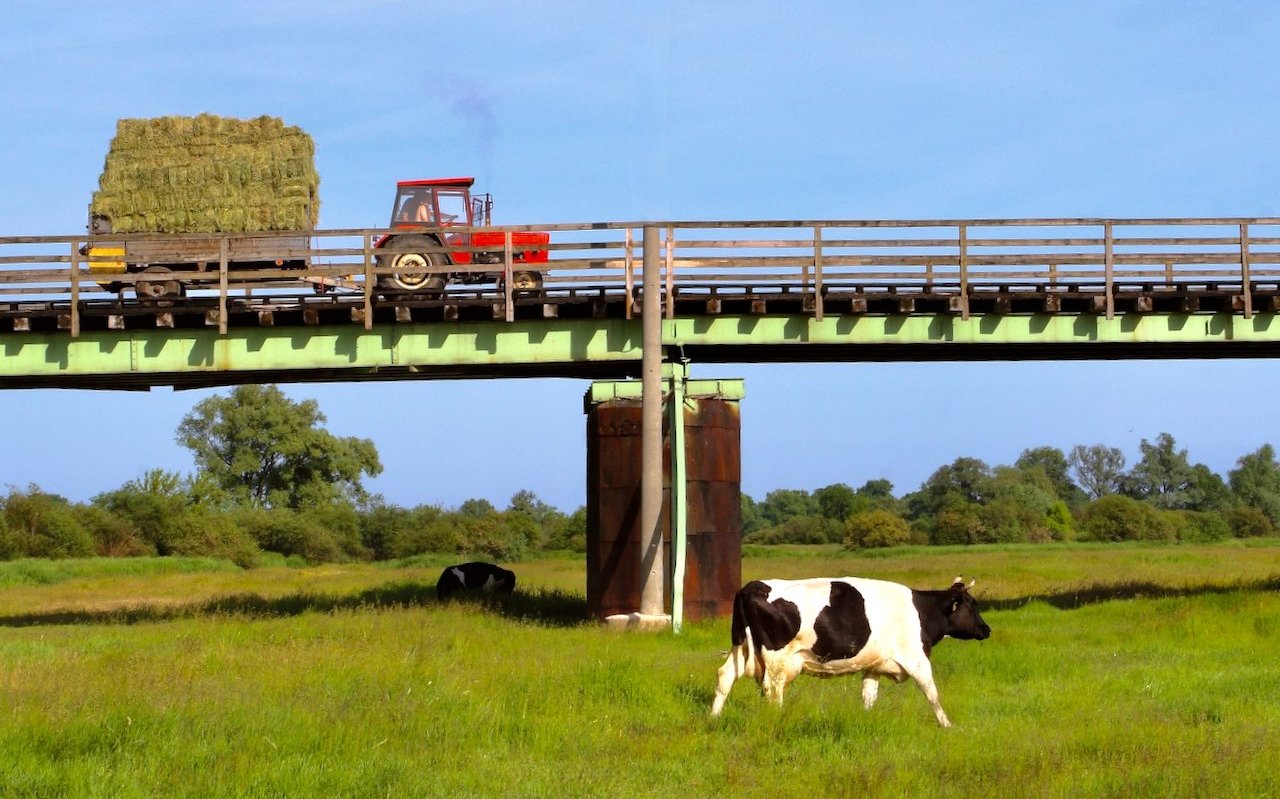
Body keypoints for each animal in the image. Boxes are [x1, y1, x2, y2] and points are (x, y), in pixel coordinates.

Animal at [711, 576, 988, 727]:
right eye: (972, 606)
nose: (987, 629)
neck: (921, 611)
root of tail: (753, 586)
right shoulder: (916, 659)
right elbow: (932, 693)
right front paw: (947, 725)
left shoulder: (874, 666)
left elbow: (869, 696)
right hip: (777, 659)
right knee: (773, 689)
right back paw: (777, 718)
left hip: (741, 646)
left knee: (725, 676)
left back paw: (713, 716)